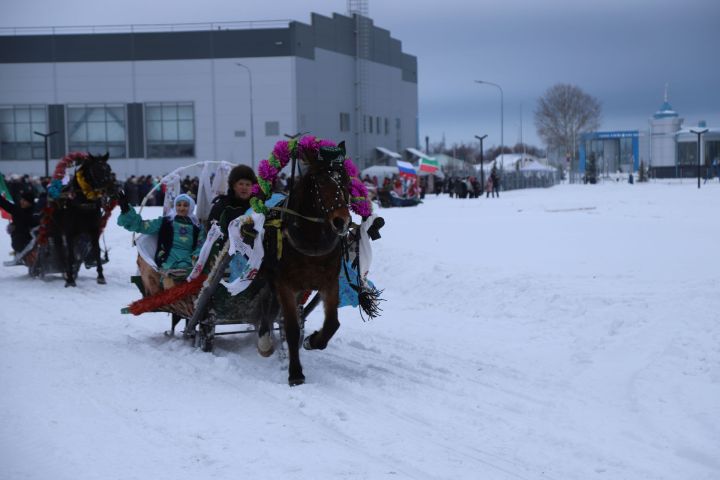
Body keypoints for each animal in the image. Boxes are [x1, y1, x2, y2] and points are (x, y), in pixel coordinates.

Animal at [49, 153, 117, 284]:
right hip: (56, 230)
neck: (83, 202)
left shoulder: (94, 230)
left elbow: (96, 250)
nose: (113, 188)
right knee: (61, 249)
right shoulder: (69, 232)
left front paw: (100, 276)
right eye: (97, 170)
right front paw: (70, 278)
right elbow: (69, 254)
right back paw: (66, 271)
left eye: (109, 168)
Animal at [260, 142, 352, 386]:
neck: (312, 241)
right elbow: (291, 328)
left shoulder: (329, 282)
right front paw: (295, 373)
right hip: (271, 274)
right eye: (321, 183)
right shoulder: (284, 283)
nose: (342, 221)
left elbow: (333, 323)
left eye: (346, 180)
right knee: (269, 303)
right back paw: (265, 338)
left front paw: (313, 340)